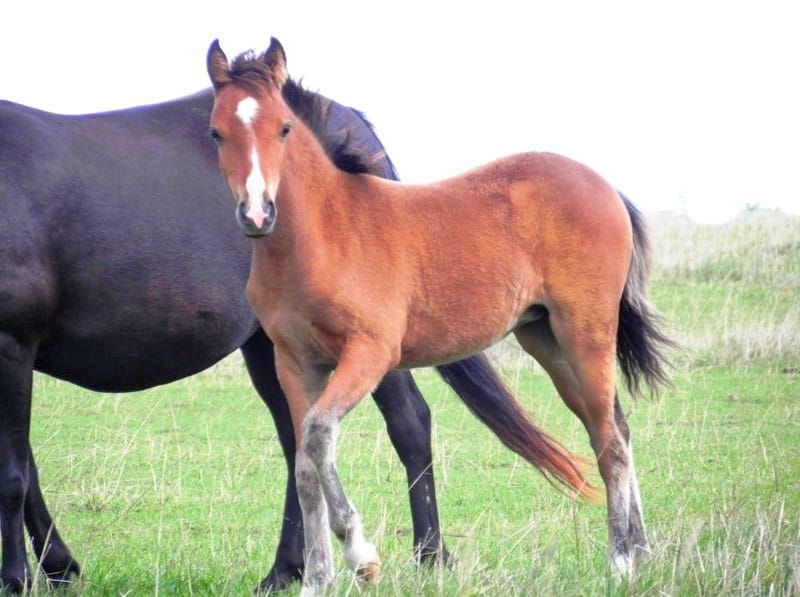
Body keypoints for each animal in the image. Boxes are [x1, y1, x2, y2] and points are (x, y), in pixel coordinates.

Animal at [0, 63, 528, 593]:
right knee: (300, 444)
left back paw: (430, 555)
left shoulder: (12, 344)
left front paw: (18, 577)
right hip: (274, 346)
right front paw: (58, 567)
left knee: (409, 423)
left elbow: (12, 473)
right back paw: (286, 571)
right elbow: (27, 468)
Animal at [206, 38, 673, 592]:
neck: (325, 235)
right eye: (216, 132)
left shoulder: (370, 352)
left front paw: (361, 556)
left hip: (586, 332)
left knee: (610, 441)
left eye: (284, 128)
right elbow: (304, 464)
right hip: (546, 339)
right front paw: (317, 579)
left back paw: (620, 560)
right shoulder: (295, 362)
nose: (257, 213)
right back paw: (642, 553)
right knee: (616, 427)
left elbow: (319, 437)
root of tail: (605, 186)